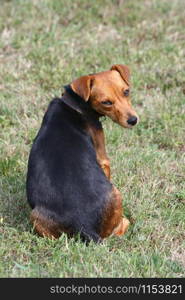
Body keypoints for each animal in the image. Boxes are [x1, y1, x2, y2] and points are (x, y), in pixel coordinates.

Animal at [26, 64, 138, 243]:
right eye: (106, 102)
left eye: (126, 91)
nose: (133, 120)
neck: (74, 104)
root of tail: (83, 226)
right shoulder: (103, 159)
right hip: (116, 194)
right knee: (115, 231)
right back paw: (126, 221)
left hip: (36, 216)